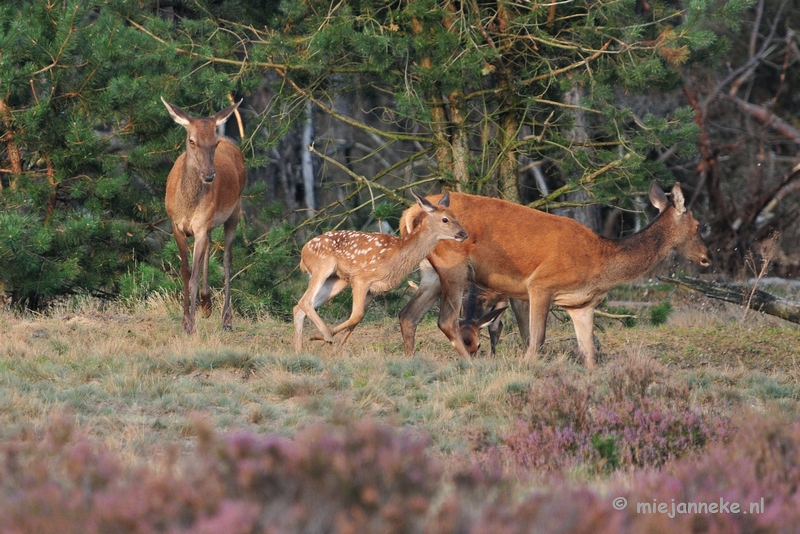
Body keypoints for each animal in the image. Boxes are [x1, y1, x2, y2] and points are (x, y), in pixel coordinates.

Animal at [162, 97, 247, 336]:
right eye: (192, 141)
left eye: (214, 143)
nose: (209, 175)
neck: (187, 206)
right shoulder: (176, 225)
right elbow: (185, 272)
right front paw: (185, 320)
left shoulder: (200, 225)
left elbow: (194, 276)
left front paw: (190, 325)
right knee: (210, 245)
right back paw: (206, 303)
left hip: (235, 209)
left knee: (227, 258)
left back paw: (226, 318)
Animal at [294, 193, 468, 356]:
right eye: (445, 219)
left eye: (456, 216)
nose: (463, 234)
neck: (395, 257)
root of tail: (303, 252)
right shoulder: (361, 278)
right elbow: (357, 315)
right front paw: (322, 337)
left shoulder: (374, 289)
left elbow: (356, 319)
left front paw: (333, 347)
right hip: (322, 267)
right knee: (305, 301)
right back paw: (325, 336)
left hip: (337, 280)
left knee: (299, 307)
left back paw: (300, 351)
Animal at [396, 182, 708, 370]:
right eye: (697, 225)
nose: (707, 256)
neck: (600, 261)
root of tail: (410, 213)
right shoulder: (540, 284)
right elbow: (536, 338)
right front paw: (526, 366)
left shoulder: (581, 305)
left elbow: (589, 351)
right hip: (454, 265)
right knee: (446, 319)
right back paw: (470, 364)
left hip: (430, 272)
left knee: (408, 314)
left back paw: (409, 361)